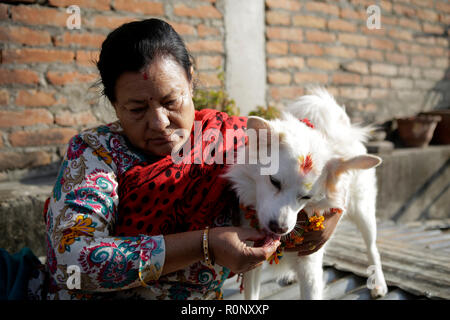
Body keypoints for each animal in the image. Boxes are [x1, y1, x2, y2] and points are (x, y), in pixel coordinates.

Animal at [223, 87, 388, 300]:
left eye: (306, 198)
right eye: (274, 182)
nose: (279, 228)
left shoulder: (311, 267)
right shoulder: (252, 261)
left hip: (363, 212)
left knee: (372, 248)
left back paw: (379, 283)